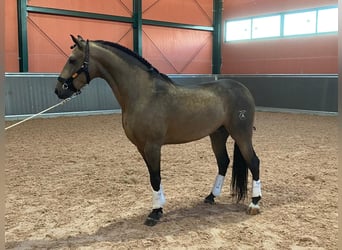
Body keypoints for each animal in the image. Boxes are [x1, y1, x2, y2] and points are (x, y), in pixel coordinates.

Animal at [54, 34, 262, 226]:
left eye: (72, 59)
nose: (58, 90)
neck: (143, 94)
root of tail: (242, 89)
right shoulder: (141, 147)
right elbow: (153, 177)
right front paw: (160, 205)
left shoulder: (153, 146)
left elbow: (155, 177)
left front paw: (154, 213)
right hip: (217, 134)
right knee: (223, 162)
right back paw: (211, 197)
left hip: (241, 134)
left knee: (253, 162)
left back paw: (254, 203)